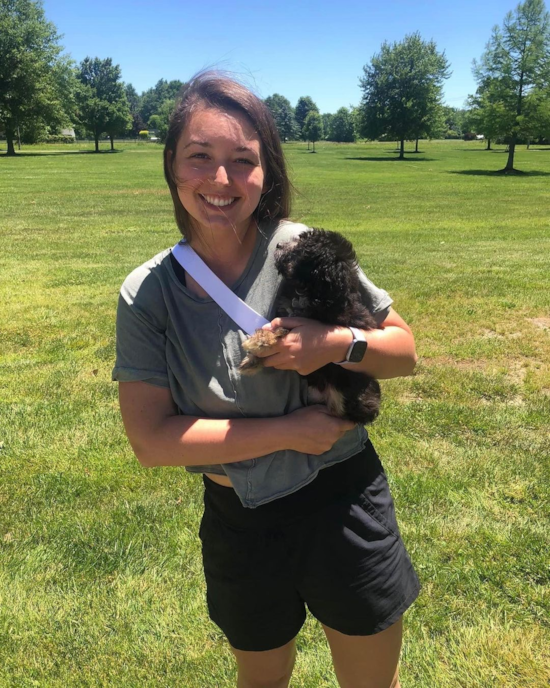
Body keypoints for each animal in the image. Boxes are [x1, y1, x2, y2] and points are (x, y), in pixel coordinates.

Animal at [239, 228, 382, 428]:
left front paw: (260, 342)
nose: (278, 245)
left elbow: (282, 330)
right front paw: (252, 360)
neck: (308, 294)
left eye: (300, 250)